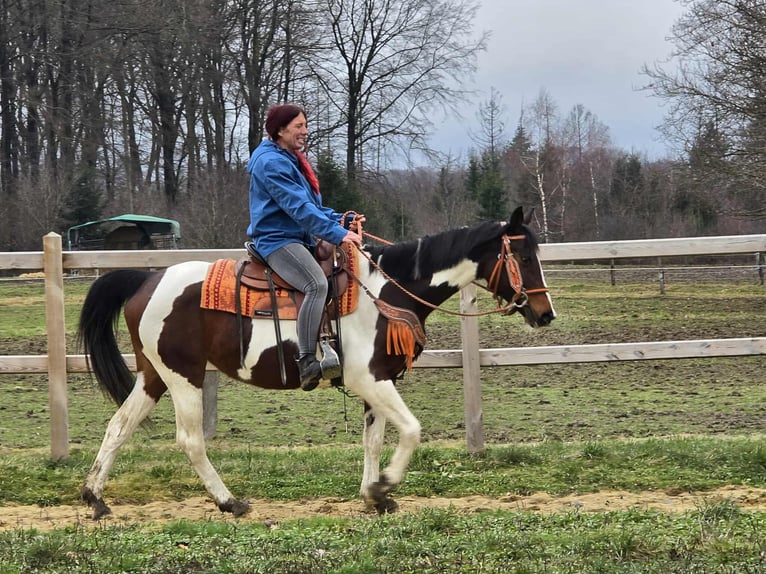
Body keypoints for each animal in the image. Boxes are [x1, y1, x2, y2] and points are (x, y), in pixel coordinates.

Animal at [78, 206, 556, 519]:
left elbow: (373, 441)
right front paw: (385, 485)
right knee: (190, 441)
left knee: (118, 426)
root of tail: (147, 279)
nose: (545, 313)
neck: (387, 292)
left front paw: (374, 495)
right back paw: (230, 502)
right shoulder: (371, 380)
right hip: (184, 376)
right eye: (524, 257)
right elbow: (412, 430)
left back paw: (95, 497)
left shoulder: (376, 384)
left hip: (154, 375)